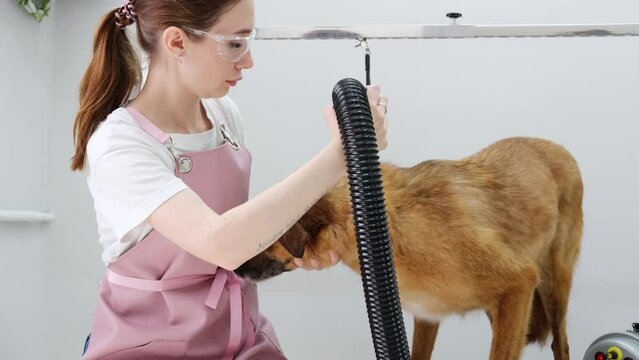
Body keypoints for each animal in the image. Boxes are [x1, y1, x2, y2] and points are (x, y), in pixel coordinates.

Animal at [236, 136, 584, 358]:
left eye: (259, 234)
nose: (234, 269)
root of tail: (558, 148)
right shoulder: (427, 317)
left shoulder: (519, 282)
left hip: (552, 286)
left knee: (561, 344)